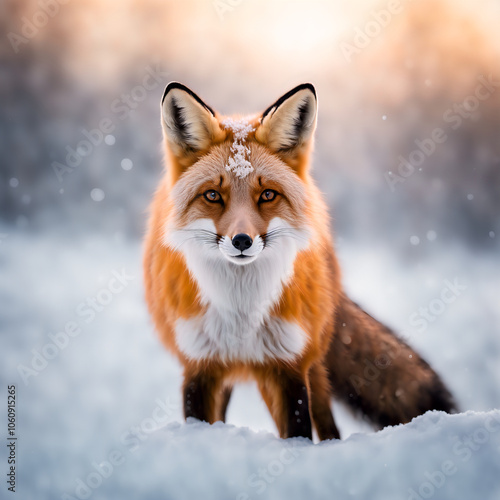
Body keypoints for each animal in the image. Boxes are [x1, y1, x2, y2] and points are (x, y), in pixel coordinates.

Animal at [143, 82, 456, 442]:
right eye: (212, 196)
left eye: (267, 195)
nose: (241, 241)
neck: (242, 311)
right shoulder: (198, 365)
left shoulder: (288, 365)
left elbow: (298, 434)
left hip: (312, 363)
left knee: (328, 423)